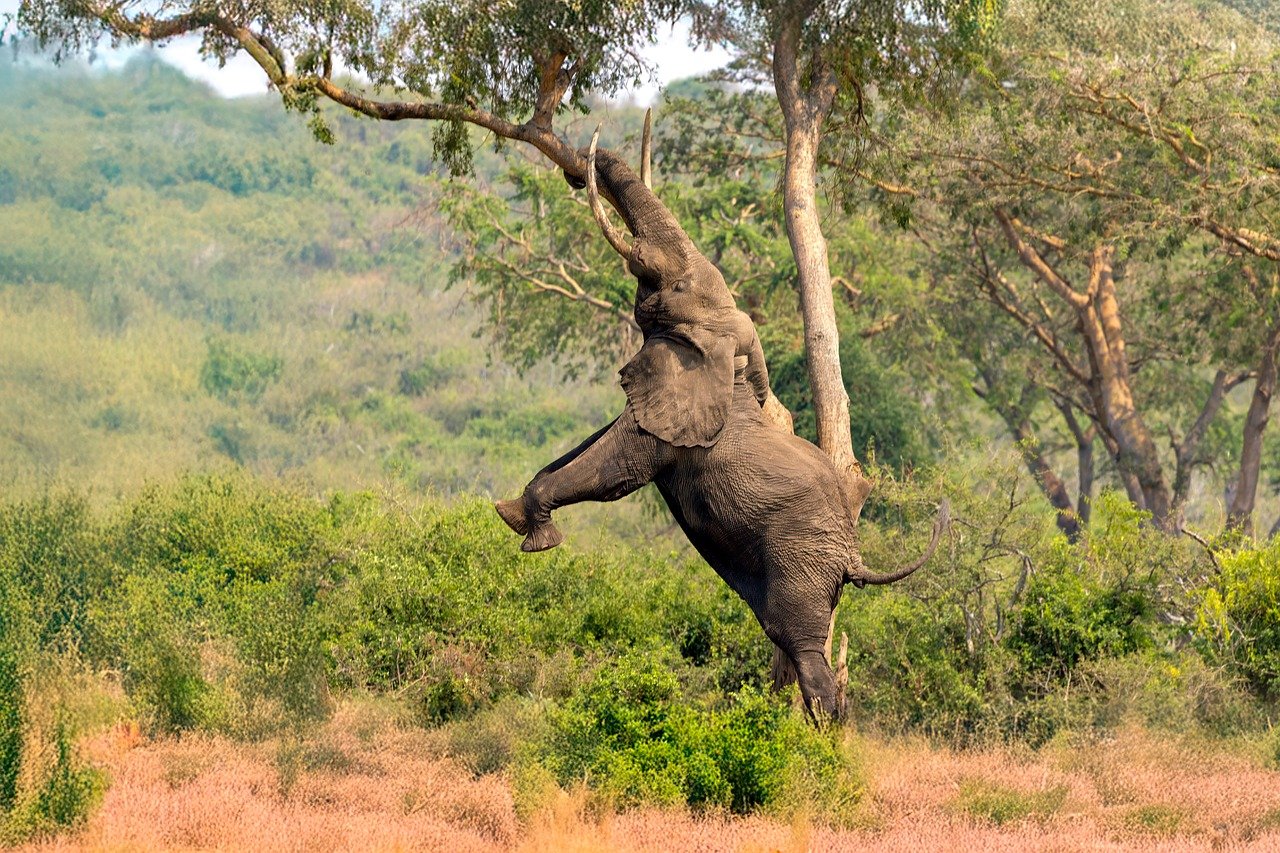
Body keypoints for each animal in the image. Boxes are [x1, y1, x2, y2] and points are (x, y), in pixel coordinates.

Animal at [495, 128, 948, 720]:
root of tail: (854, 554)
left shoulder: (672, 425)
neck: (725, 354)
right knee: (785, 636)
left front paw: (530, 533)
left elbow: (617, 466)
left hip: (801, 558)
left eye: (674, 286)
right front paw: (509, 511)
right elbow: (597, 440)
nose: (578, 170)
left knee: (804, 648)